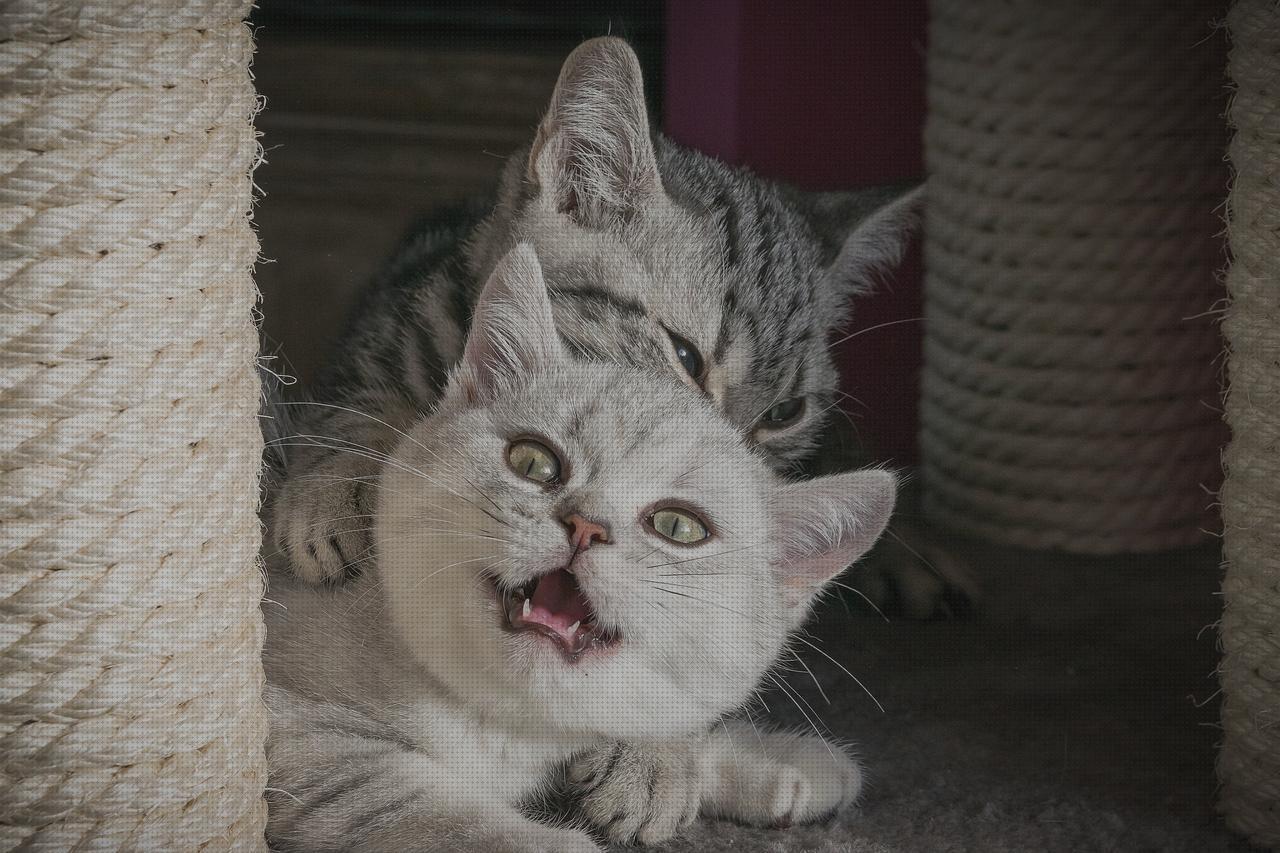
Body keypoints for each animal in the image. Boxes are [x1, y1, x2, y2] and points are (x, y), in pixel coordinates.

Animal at [264, 240, 896, 850]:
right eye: (533, 461)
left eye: (679, 527)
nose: (586, 527)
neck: (506, 726)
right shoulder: (292, 732)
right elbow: (413, 802)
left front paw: (779, 762)